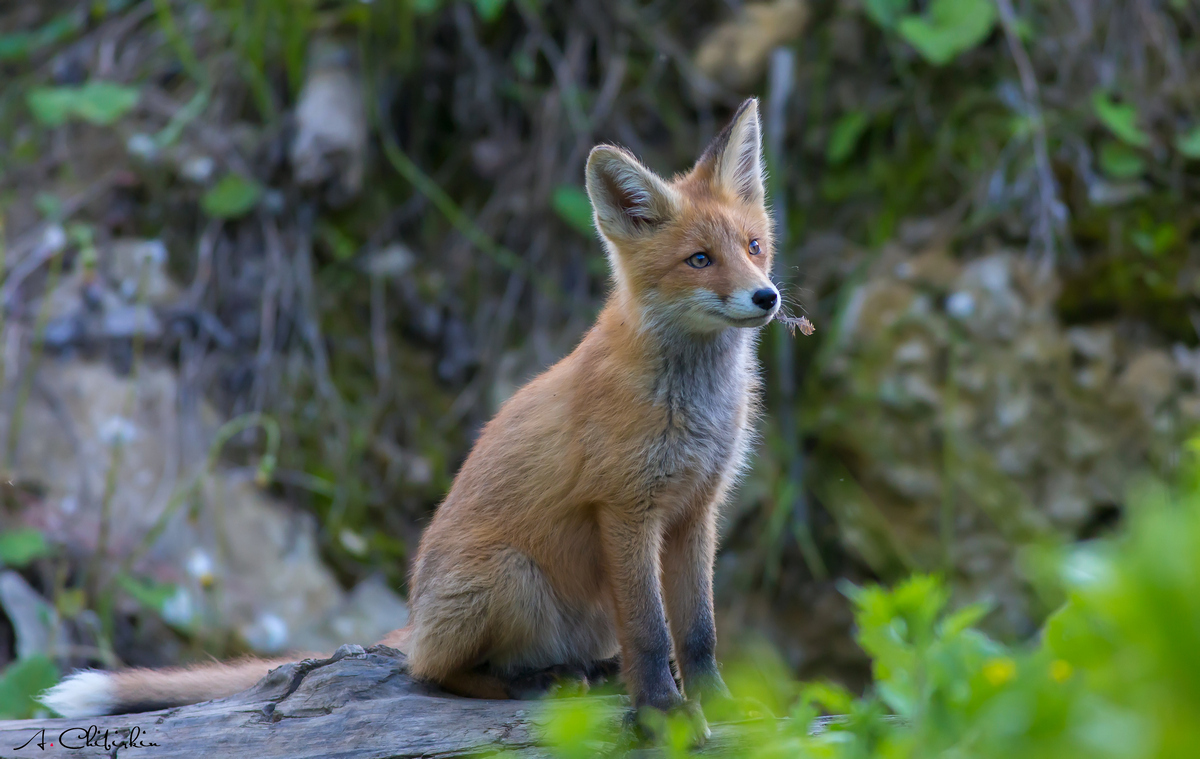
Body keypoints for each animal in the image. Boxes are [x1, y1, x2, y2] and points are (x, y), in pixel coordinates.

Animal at [39, 97, 777, 725]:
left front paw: (725, 705)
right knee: (434, 672)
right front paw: (663, 714)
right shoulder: (624, 508)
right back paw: (535, 681)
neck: (695, 403)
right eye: (699, 260)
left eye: (753, 247)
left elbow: (699, 631)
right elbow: (651, 634)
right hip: (509, 577)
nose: (767, 297)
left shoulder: (695, 511)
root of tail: (415, 614)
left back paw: (584, 672)